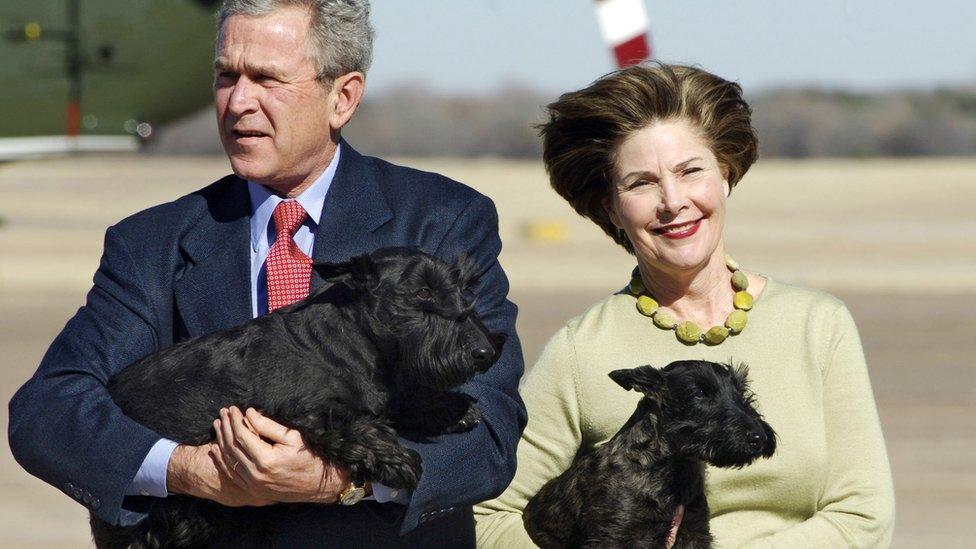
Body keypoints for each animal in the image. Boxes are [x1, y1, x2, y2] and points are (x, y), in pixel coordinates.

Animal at [91, 247, 508, 548]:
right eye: (422, 292)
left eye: (462, 288)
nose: (486, 351)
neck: (355, 340)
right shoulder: (308, 412)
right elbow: (355, 426)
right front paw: (398, 460)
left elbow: (404, 398)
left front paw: (452, 409)